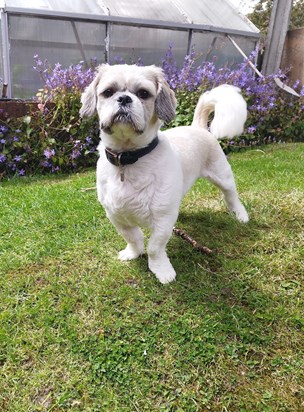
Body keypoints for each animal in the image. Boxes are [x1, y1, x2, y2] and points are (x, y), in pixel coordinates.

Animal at [79, 64, 248, 284]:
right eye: (108, 92)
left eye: (143, 93)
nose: (124, 98)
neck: (130, 159)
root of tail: (198, 127)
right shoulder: (117, 216)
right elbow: (133, 238)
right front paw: (133, 253)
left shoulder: (162, 220)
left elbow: (154, 248)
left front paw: (161, 270)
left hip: (222, 176)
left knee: (231, 196)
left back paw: (241, 214)